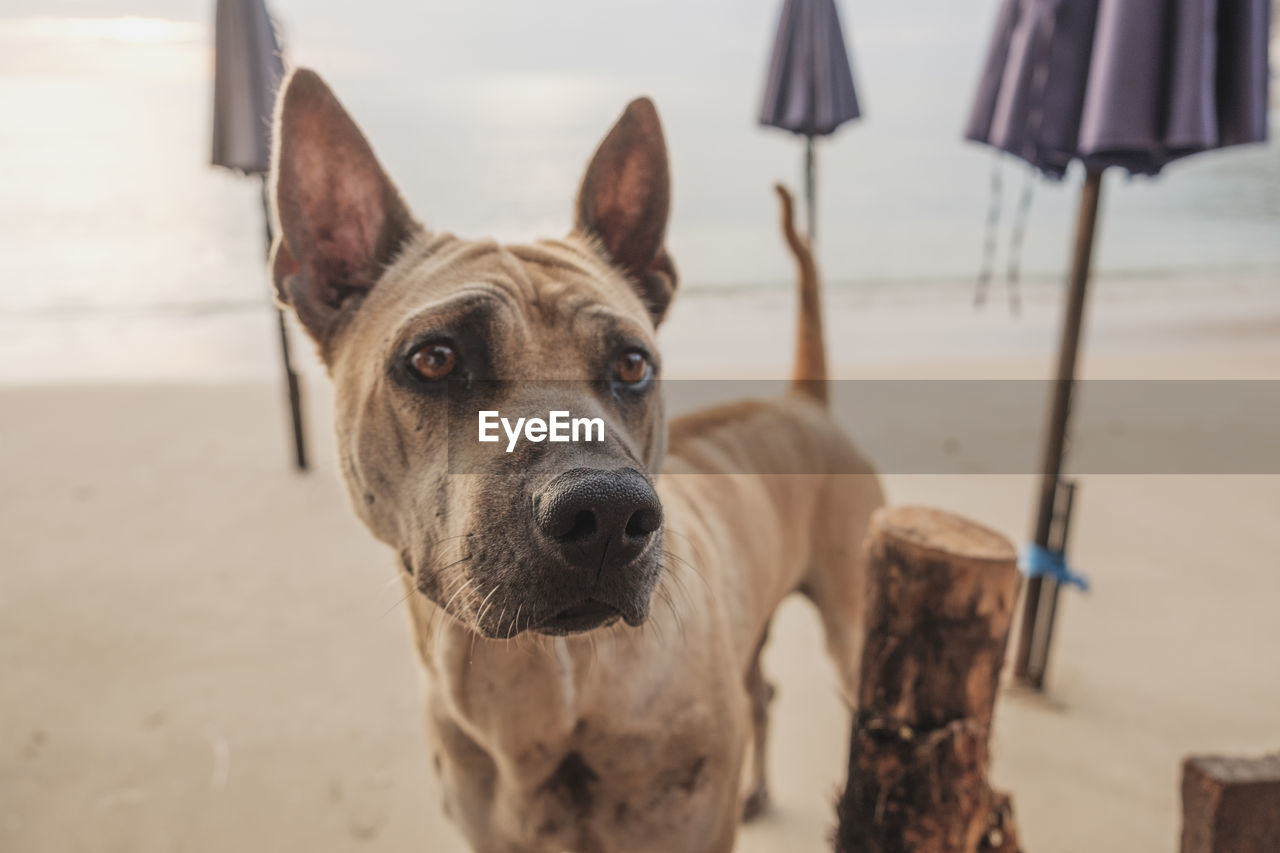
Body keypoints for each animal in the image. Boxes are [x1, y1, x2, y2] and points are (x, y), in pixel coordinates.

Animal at [267, 68, 890, 850]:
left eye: (632, 364)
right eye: (435, 358)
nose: (609, 512)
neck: (539, 684)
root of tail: (804, 401)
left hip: (858, 627)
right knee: (763, 690)